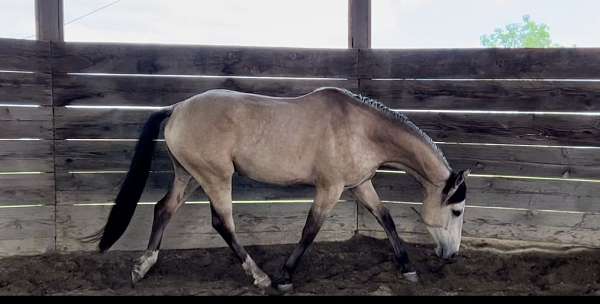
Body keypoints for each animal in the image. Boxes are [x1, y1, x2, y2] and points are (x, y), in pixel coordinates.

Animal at [83, 86, 468, 290]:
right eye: (457, 210)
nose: (450, 255)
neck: (361, 128)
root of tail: (177, 107)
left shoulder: (360, 184)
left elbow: (385, 218)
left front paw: (408, 268)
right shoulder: (329, 188)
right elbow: (310, 230)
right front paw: (285, 277)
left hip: (188, 175)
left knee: (164, 208)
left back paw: (143, 266)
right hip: (215, 177)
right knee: (222, 223)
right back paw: (260, 276)